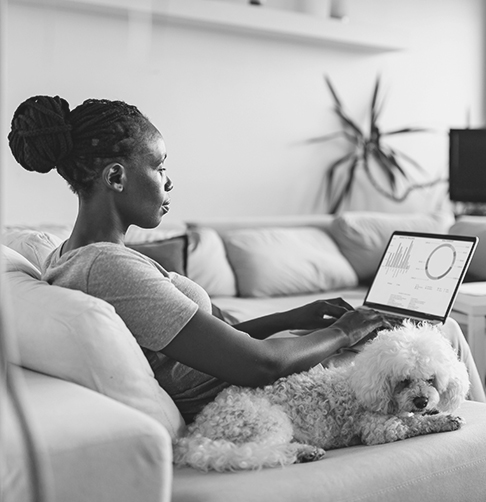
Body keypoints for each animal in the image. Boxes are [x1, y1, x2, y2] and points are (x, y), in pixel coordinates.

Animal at [173, 322, 468, 470]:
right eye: (403, 381)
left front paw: (434, 411)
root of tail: (195, 431)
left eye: (431, 379)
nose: (421, 401)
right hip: (266, 421)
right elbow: (413, 423)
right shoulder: (378, 427)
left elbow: (417, 417)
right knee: (256, 452)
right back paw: (305, 453)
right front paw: (444, 420)